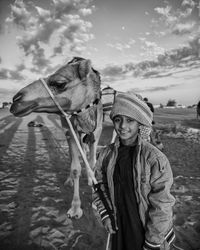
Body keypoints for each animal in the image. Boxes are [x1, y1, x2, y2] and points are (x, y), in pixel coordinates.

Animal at [9, 57, 103, 219]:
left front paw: (94, 200)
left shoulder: (96, 133)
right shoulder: (71, 131)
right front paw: (75, 208)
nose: (16, 99)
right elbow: (76, 168)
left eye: (60, 83)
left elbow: (93, 164)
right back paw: (69, 180)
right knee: (73, 156)